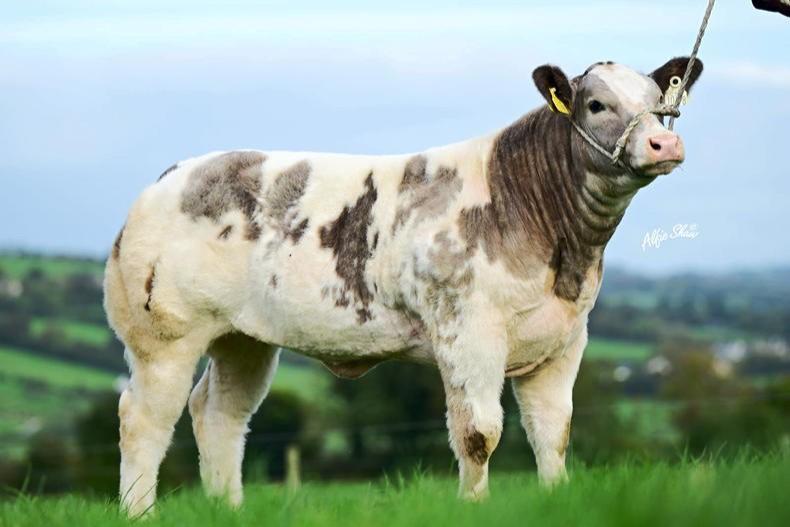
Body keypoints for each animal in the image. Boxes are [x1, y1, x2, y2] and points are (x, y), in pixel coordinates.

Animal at [104, 57, 703, 517]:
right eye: (596, 105)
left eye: (660, 100)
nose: (664, 141)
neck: (563, 249)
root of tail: (173, 177)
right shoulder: (468, 331)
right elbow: (479, 432)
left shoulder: (565, 340)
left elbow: (554, 433)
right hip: (165, 334)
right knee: (143, 418)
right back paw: (139, 513)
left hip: (243, 338)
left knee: (219, 415)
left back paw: (229, 510)